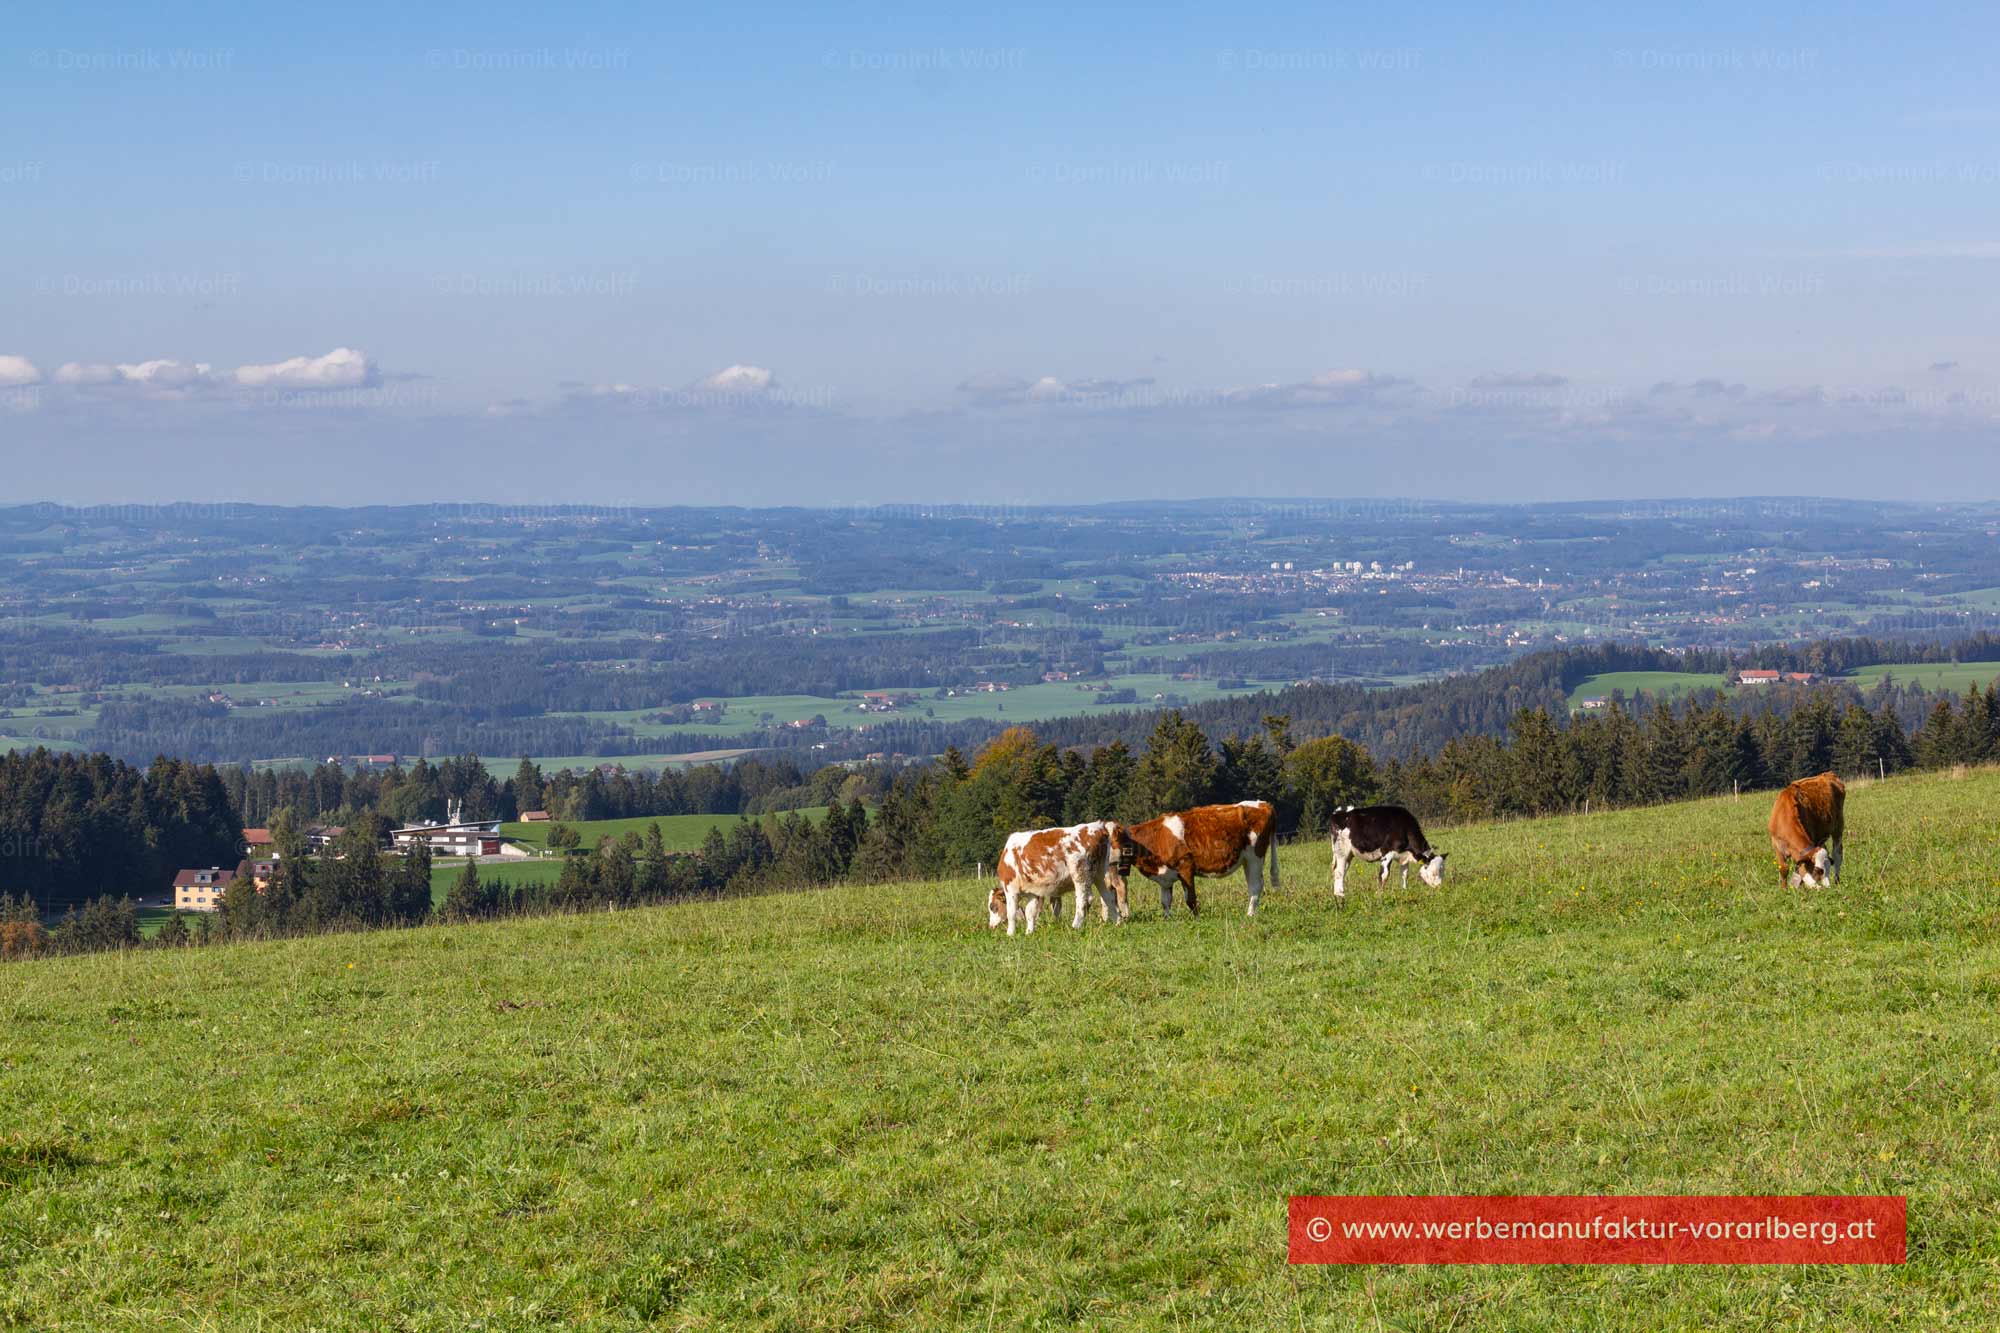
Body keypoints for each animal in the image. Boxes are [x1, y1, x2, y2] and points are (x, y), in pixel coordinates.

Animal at [988, 816, 1136, 928]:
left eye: (993, 907)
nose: (991, 926)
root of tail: (1099, 827)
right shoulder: (1035, 891)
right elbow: (1034, 912)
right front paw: (1031, 931)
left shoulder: (1010, 887)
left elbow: (1011, 912)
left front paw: (1011, 934)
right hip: (1100, 874)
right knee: (1108, 897)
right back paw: (1117, 922)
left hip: (1080, 872)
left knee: (1084, 899)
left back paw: (1076, 925)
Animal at [1128, 800, 1280, 912]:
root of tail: (1264, 804)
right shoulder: (1165, 876)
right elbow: (1165, 901)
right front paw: (1168, 921)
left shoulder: (1186, 867)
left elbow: (1190, 899)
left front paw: (1197, 919)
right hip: (1246, 861)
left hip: (1255, 857)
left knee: (1256, 886)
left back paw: (1250, 915)